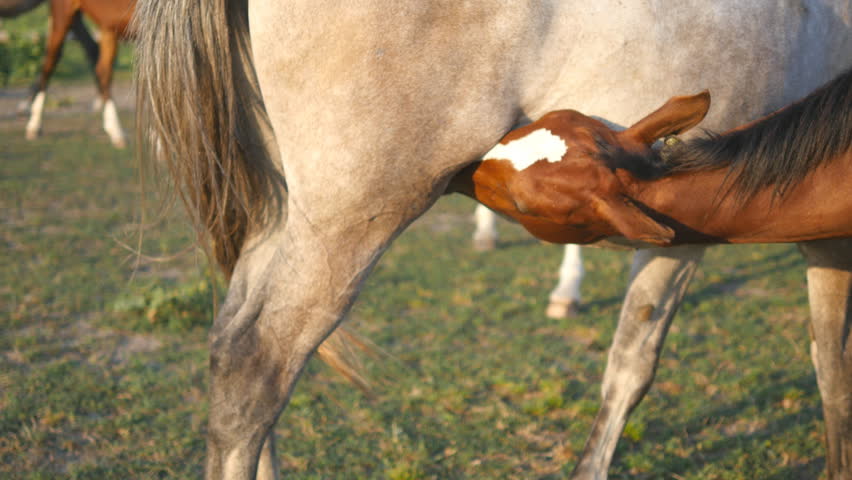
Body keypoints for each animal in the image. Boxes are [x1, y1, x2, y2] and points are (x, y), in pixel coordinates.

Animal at [133, 0, 852, 480]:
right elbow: (823, 369)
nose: (475, 168)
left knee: (235, 343)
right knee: (255, 365)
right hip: (345, 224)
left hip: (287, 213)